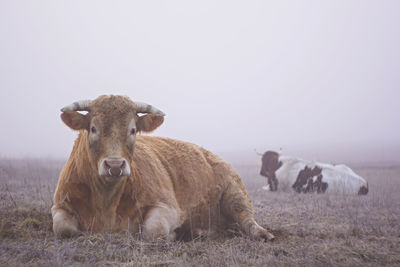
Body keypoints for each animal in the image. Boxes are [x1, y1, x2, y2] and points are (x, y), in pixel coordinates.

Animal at [50, 95, 276, 242]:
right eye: (93, 128)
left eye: (133, 130)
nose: (115, 165)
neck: (106, 201)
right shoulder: (60, 204)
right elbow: (63, 228)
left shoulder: (169, 207)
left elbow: (154, 229)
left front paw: (174, 234)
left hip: (235, 194)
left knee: (246, 218)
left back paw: (261, 233)